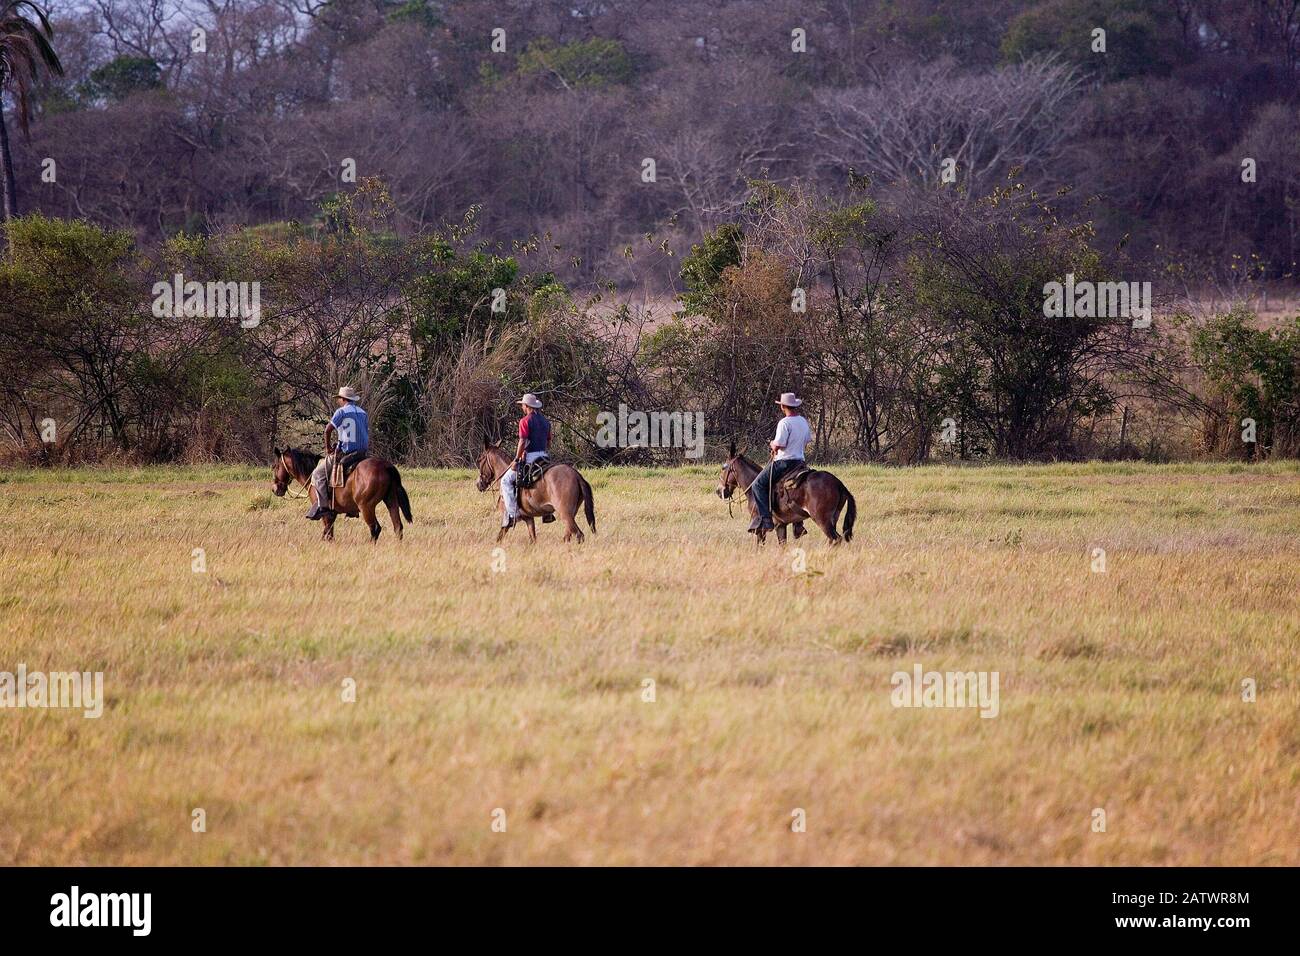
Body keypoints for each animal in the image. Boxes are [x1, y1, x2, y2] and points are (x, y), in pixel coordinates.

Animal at [273, 447, 410, 541]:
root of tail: (386, 466)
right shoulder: (332, 514)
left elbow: (328, 535)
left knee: (375, 528)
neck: (311, 474)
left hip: (367, 507)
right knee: (398, 527)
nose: (275, 489)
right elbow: (329, 534)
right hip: (391, 501)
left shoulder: (326, 514)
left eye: (275, 466)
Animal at [717, 447, 857, 546]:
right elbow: (782, 544)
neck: (753, 489)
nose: (719, 491)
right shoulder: (780, 525)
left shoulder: (760, 527)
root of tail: (839, 484)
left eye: (723, 468)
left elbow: (759, 546)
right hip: (833, 518)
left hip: (822, 520)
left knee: (836, 539)